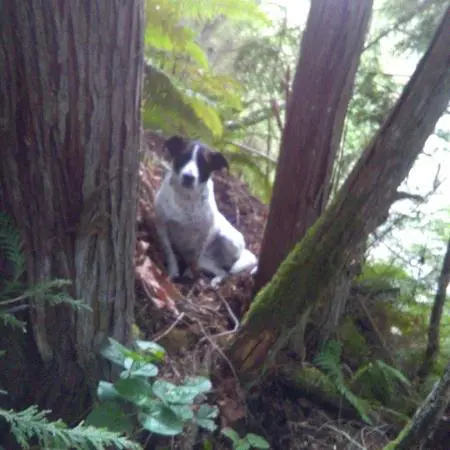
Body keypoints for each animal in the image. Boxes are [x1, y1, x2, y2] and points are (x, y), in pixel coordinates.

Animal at [154, 135, 258, 287]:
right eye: (183, 156)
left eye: (203, 164)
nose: (188, 177)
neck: (186, 198)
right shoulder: (161, 226)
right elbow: (170, 253)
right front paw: (173, 273)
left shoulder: (204, 236)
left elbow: (194, 259)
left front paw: (188, 275)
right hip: (207, 261)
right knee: (221, 271)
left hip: (228, 239)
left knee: (227, 270)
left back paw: (215, 280)